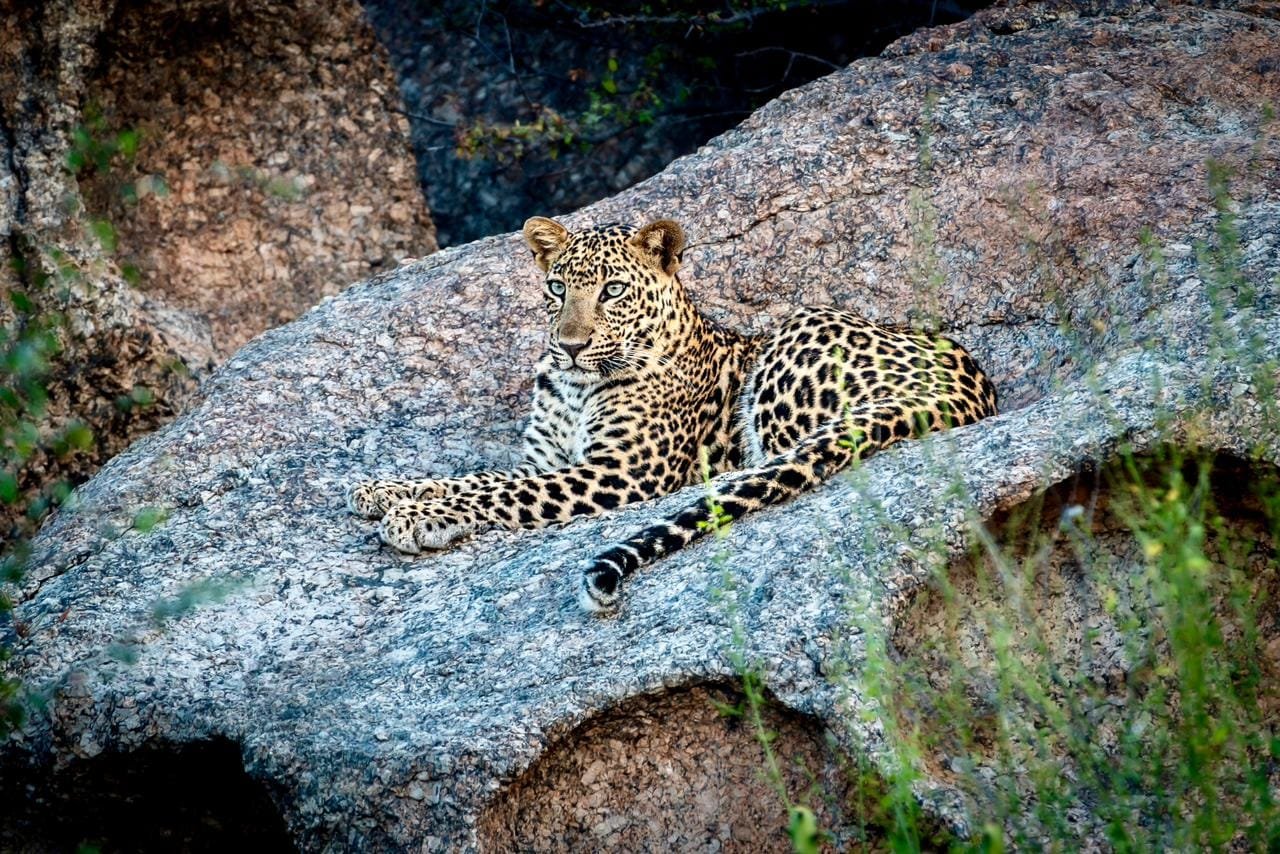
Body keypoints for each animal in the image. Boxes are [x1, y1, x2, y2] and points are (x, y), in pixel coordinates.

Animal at [349, 216, 998, 612]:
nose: (570, 344)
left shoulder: (619, 474)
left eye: (612, 290)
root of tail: (969, 384)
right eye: (558, 288)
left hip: (799, 337)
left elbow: (505, 494)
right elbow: (482, 478)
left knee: (774, 463)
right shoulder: (547, 459)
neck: (575, 384)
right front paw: (386, 489)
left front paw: (418, 516)